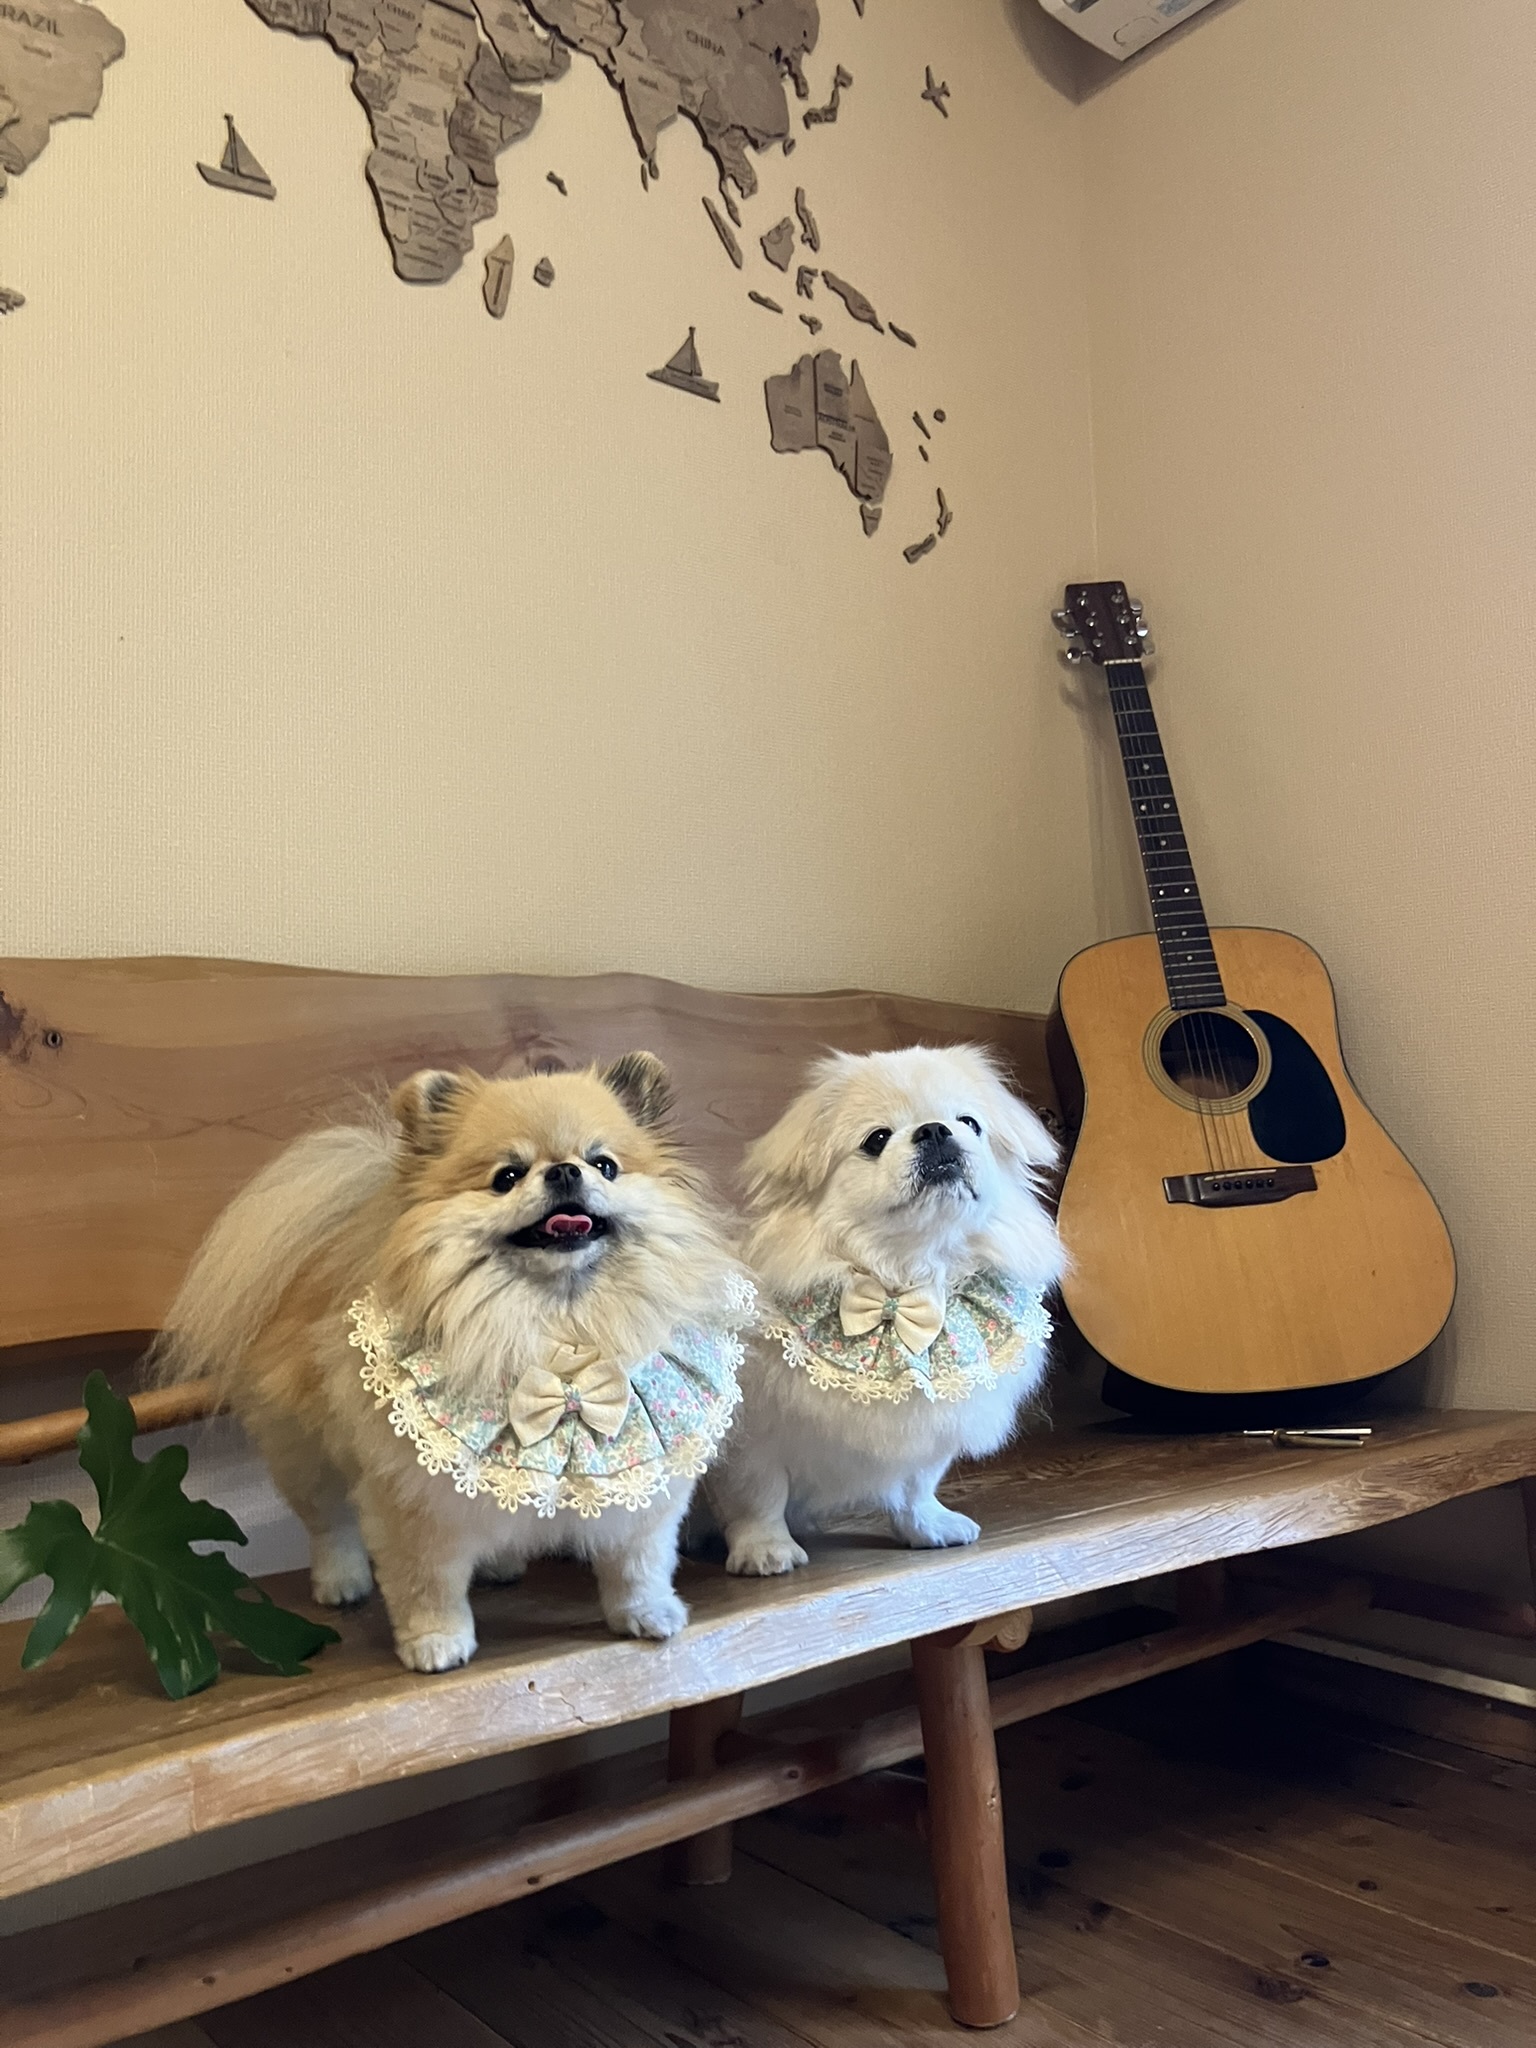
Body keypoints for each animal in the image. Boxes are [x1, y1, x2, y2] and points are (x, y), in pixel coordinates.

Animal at [153, 1055, 751, 1670]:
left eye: (604, 1165)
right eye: (507, 1176)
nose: (564, 1172)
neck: (556, 1323)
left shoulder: (644, 1495)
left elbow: (637, 1561)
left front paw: (647, 1613)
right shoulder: (414, 1500)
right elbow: (428, 1584)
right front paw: (435, 1641)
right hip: (305, 1450)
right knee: (329, 1523)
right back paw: (341, 1581)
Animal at [708, 1045, 1064, 1575]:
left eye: (969, 1123)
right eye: (877, 1139)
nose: (936, 1130)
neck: (906, 1277)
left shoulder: (928, 1427)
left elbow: (916, 1485)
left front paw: (927, 1527)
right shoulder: (754, 1437)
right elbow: (760, 1495)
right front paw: (766, 1550)